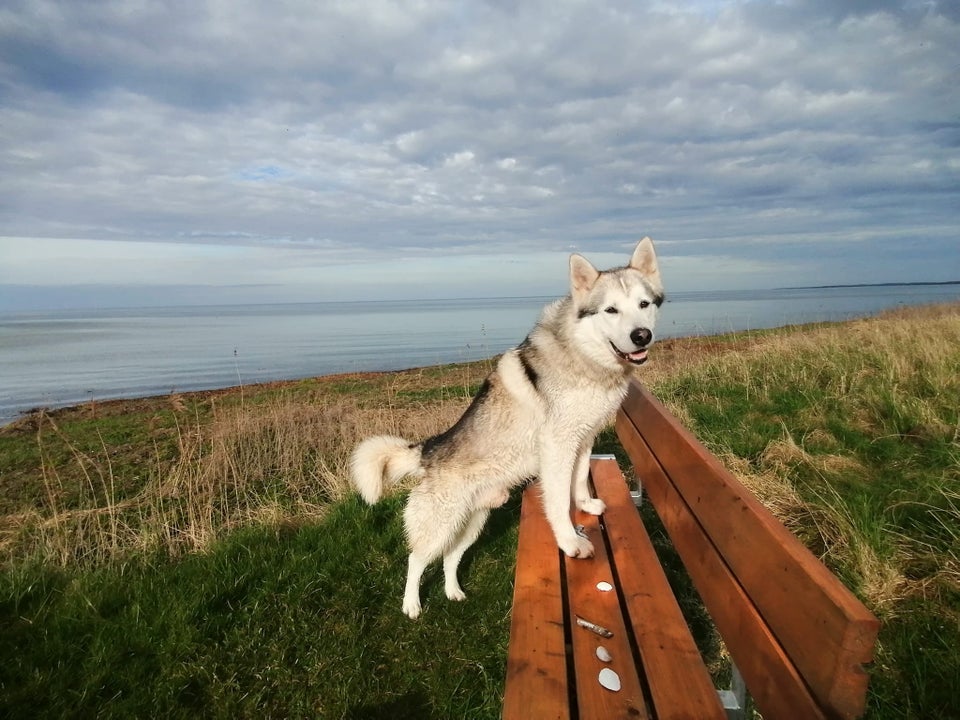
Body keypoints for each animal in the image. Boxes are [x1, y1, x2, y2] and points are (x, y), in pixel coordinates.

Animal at [348, 238, 664, 620]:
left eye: (644, 304)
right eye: (611, 310)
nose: (641, 336)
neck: (582, 357)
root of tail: (429, 449)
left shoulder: (583, 438)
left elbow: (578, 480)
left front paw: (586, 505)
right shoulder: (558, 446)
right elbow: (559, 501)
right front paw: (570, 542)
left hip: (473, 522)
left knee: (450, 558)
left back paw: (453, 592)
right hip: (442, 524)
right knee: (416, 559)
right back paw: (411, 605)